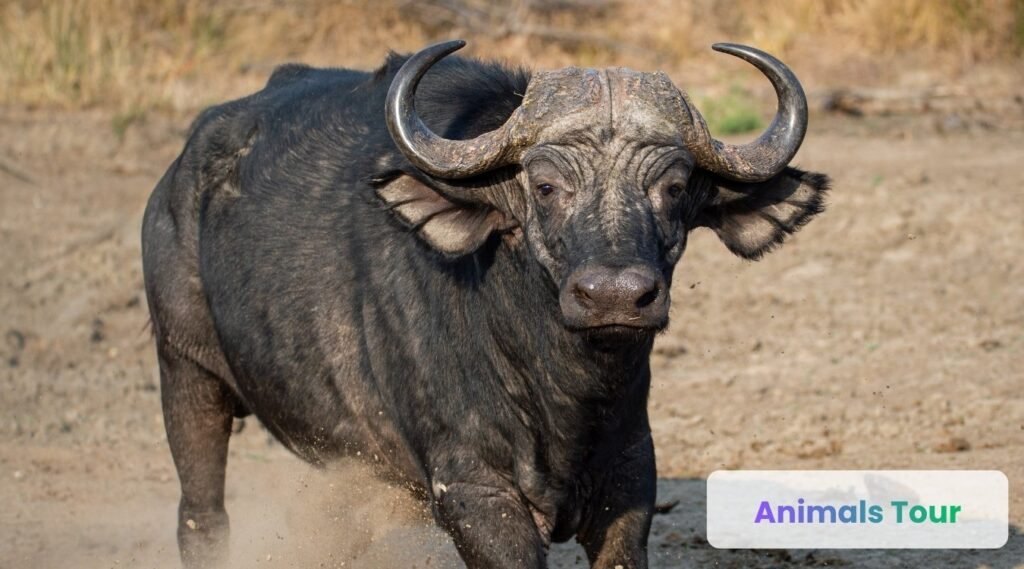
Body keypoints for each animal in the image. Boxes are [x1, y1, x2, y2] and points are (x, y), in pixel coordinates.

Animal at [142, 40, 829, 568]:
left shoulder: (630, 477)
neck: (559, 390)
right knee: (201, 515)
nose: (614, 296)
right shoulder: (475, 494)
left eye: (676, 186)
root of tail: (180, 176)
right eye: (544, 186)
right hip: (186, 370)